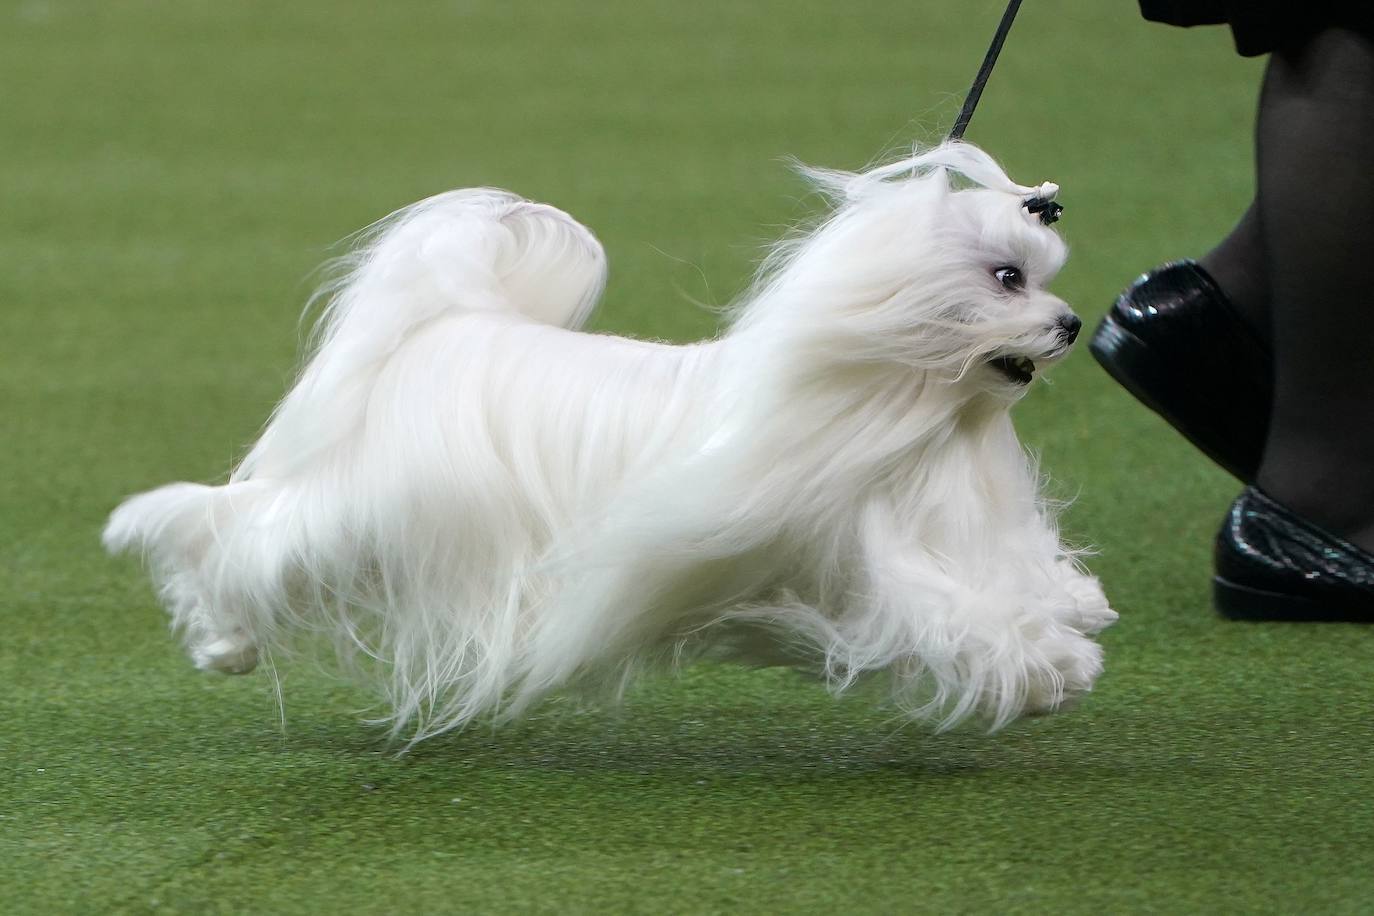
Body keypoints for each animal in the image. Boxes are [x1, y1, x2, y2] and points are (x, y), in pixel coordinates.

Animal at [107, 143, 1115, 747]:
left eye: (1041, 276)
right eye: (1007, 277)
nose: (1071, 324)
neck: (891, 400)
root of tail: (451, 325)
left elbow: (1015, 585)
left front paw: (1068, 634)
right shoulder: (872, 561)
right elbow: (957, 618)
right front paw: (1043, 668)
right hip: (369, 518)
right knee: (238, 535)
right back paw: (214, 629)